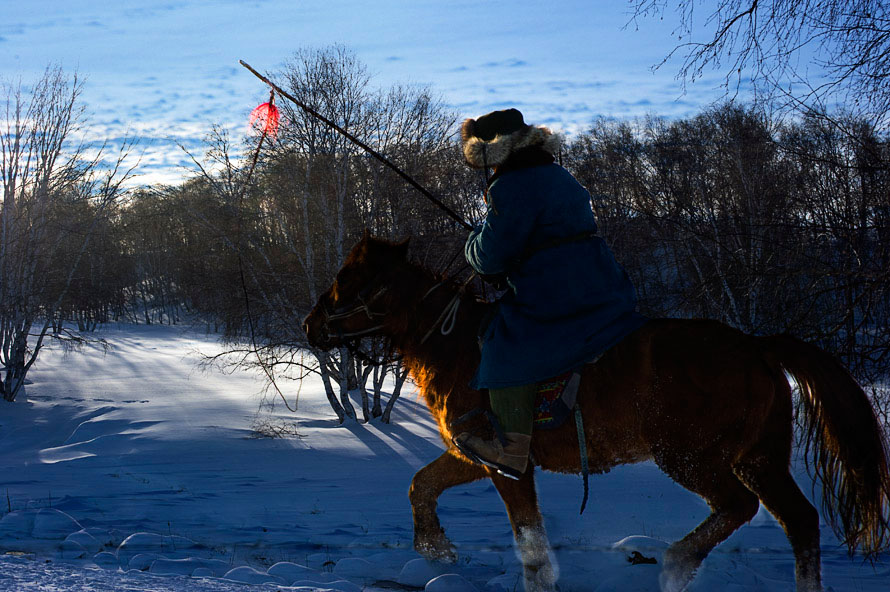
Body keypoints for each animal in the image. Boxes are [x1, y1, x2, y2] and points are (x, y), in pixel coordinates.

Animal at [302, 235, 884, 592]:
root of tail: (757, 346)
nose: (310, 324)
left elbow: (531, 543)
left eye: (346, 279)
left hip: (693, 458)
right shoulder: (474, 457)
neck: (462, 346)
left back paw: (676, 564)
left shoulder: (508, 466)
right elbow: (421, 485)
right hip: (759, 459)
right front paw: (436, 548)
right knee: (799, 520)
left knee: (739, 508)